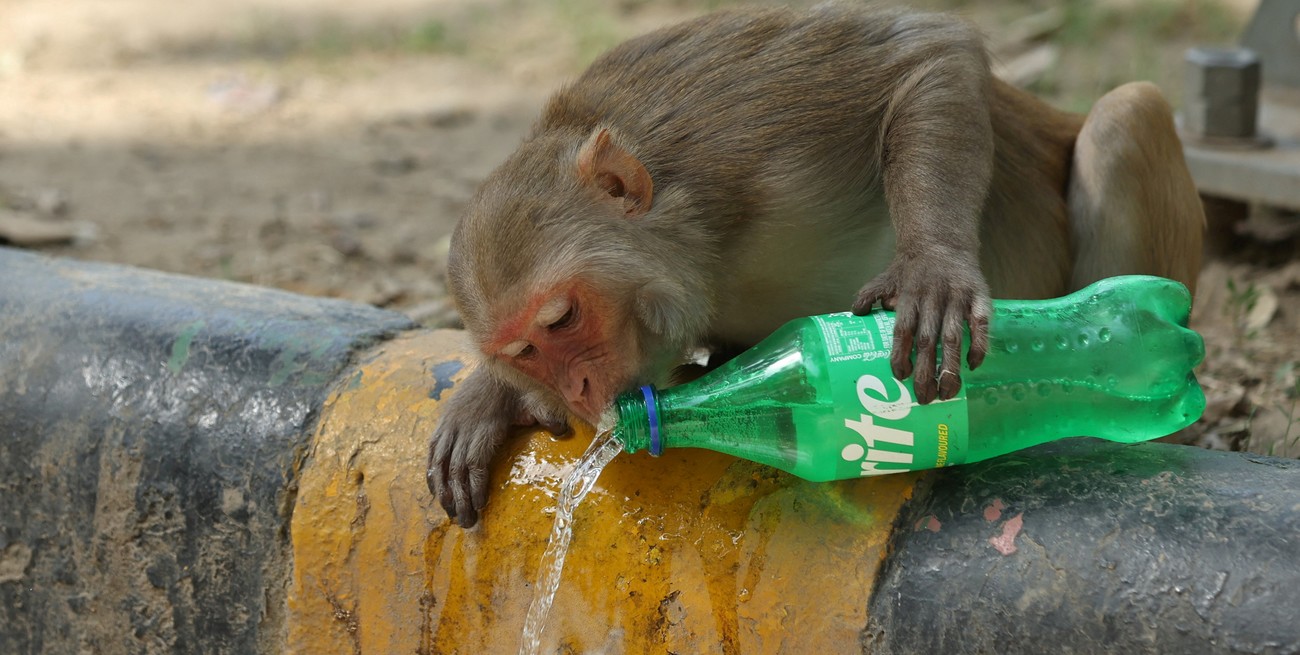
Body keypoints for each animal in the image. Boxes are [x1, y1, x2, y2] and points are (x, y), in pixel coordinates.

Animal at [427, 5, 1205, 527]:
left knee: (1125, 115)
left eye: (562, 317)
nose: (580, 390)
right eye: (525, 352)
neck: (702, 245)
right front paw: (487, 399)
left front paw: (933, 267)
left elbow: (928, 49)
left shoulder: (738, 123)